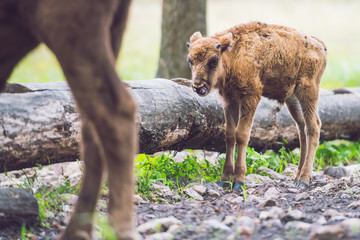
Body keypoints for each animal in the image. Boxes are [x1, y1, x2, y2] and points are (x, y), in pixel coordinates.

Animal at [0, 0, 139, 240]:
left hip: (68, 28)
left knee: (116, 112)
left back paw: (117, 229)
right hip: (112, 31)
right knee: (93, 131)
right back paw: (77, 231)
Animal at [187, 21, 328, 190]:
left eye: (213, 60)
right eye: (190, 60)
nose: (198, 86)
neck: (233, 54)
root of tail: (321, 46)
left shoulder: (251, 96)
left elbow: (242, 134)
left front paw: (239, 181)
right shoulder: (229, 100)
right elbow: (229, 135)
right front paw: (224, 179)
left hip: (308, 91)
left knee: (314, 127)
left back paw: (304, 180)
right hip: (293, 99)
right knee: (302, 127)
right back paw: (297, 176)